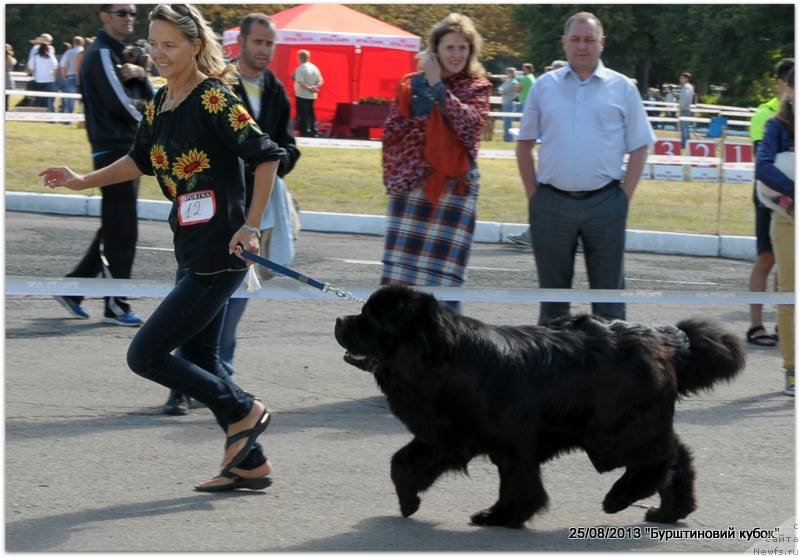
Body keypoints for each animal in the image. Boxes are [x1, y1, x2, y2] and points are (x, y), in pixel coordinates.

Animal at [334, 288, 748, 528]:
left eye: (371, 317)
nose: (339, 319)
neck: (441, 357)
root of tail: (661, 338)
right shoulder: (445, 437)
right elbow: (403, 462)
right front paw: (409, 502)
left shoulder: (507, 444)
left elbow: (520, 483)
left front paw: (500, 516)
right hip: (630, 428)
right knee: (678, 455)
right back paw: (670, 511)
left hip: (612, 435)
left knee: (659, 460)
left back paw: (618, 499)